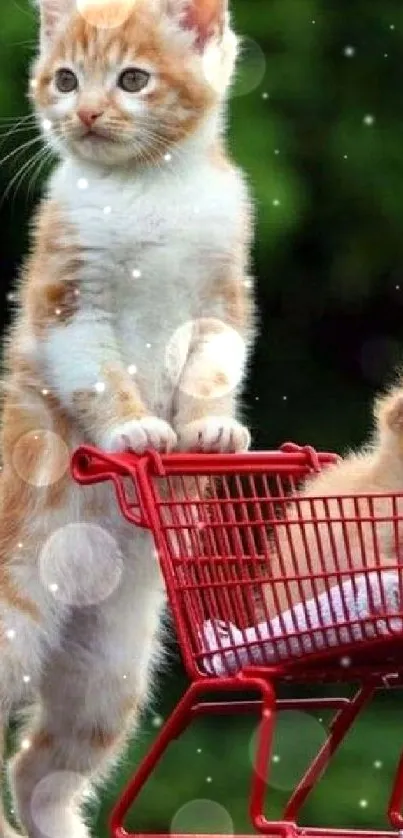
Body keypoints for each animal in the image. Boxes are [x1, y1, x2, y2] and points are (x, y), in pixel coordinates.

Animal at [0, 0, 254, 836]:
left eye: (133, 80)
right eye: (64, 79)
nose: (82, 113)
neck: (151, 190)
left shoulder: (221, 298)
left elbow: (212, 365)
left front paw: (209, 428)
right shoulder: (68, 302)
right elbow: (99, 375)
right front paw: (134, 431)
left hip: (107, 667)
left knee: (37, 769)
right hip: (10, 618)